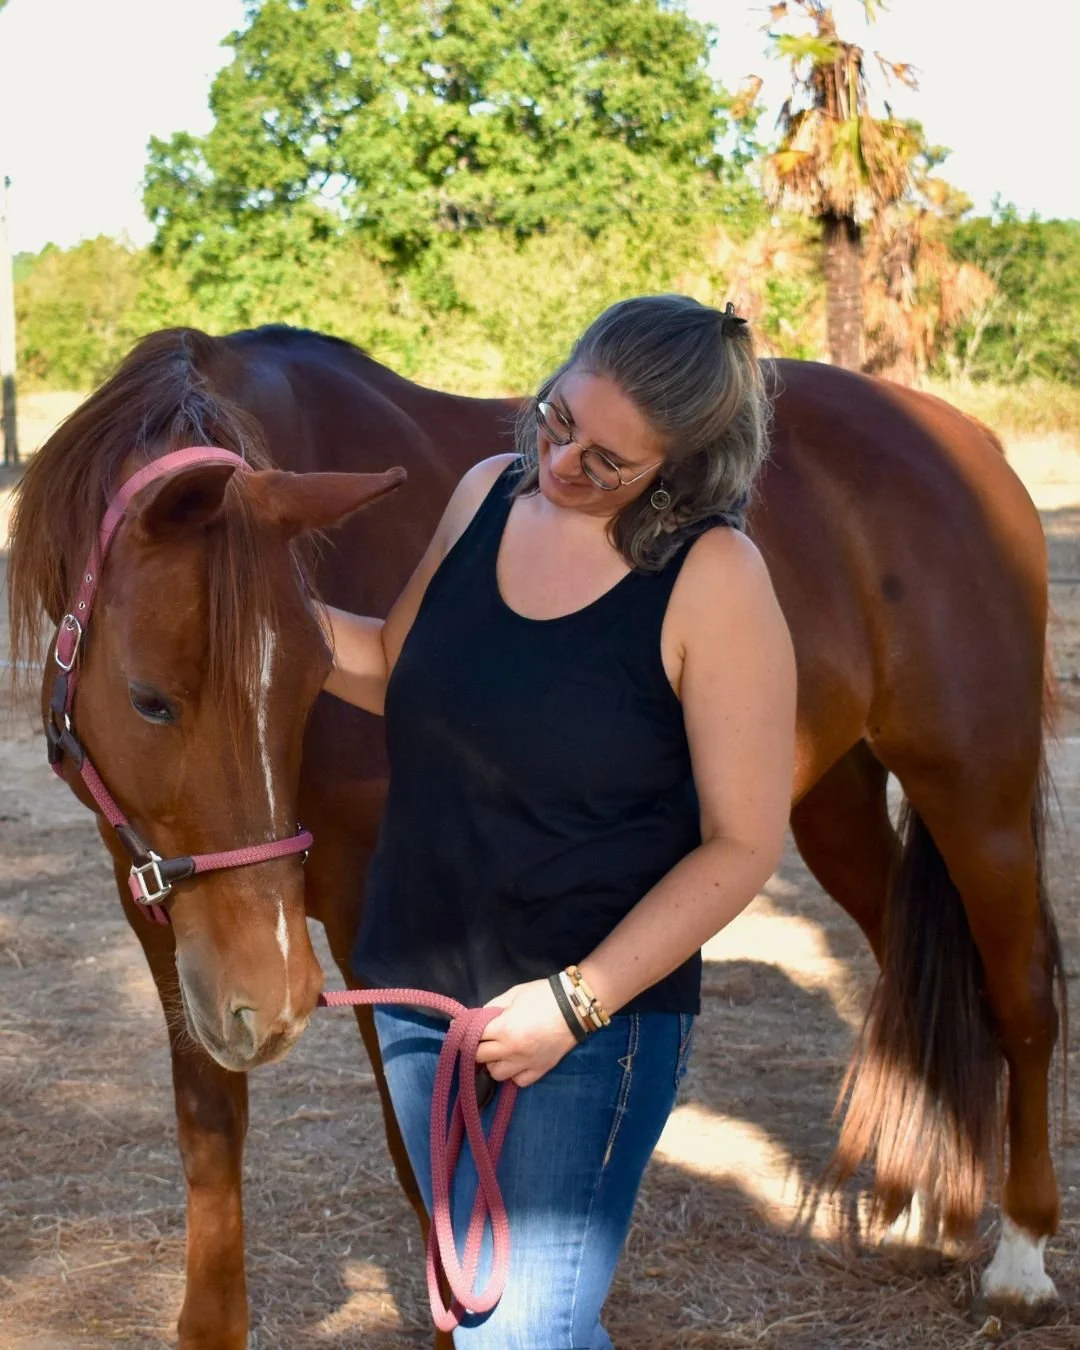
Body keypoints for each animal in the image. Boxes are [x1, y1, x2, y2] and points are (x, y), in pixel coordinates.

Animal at [7, 324, 1066, 1348]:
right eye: (151, 700)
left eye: (309, 681)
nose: (269, 1008)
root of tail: (960, 439)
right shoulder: (161, 909)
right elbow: (210, 1129)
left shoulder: (370, 920)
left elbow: (426, 1166)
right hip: (832, 807)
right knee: (909, 968)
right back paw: (921, 1210)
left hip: (977, 797)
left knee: (1019, 999)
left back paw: (1021, 1259)